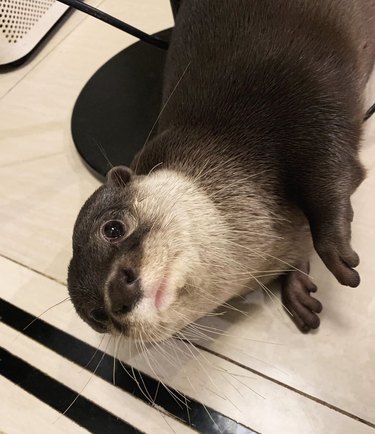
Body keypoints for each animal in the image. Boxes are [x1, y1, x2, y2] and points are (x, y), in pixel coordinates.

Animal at [67, 0, 375, 340]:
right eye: (98, 315)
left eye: (112, 229)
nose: (118, 296)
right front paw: (297, 286)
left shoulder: (306, 99)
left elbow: (330, 168)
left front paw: (338, 252)